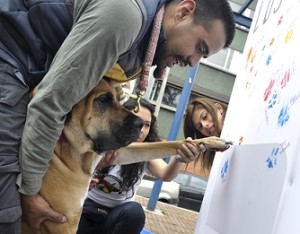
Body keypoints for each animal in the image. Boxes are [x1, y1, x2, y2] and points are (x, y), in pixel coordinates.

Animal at [22, 77, 231, 233]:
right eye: (103, 100)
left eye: (116, 98)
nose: (140, 123)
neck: (75, 153)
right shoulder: (61, 222)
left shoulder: (121, 150)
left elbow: (165, 145)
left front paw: (210, 142)